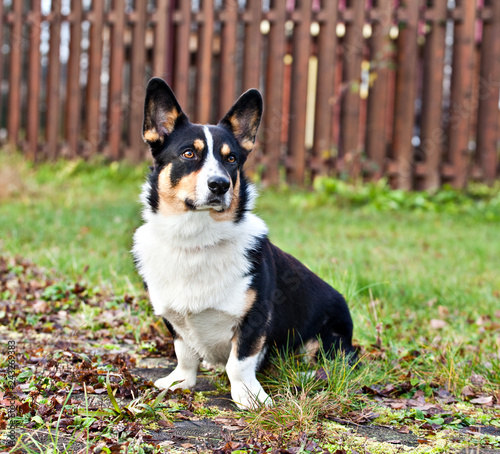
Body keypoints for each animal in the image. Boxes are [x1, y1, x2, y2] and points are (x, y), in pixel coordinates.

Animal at [133, 79, 356, 412]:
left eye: (231, 159)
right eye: (188, 153)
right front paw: (180, 381)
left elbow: (239, 362)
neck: (197, 239)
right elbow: (184, 353)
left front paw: (249, 397)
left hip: (329, 337)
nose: (220, 185)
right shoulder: (174, 321)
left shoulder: (255, 317)